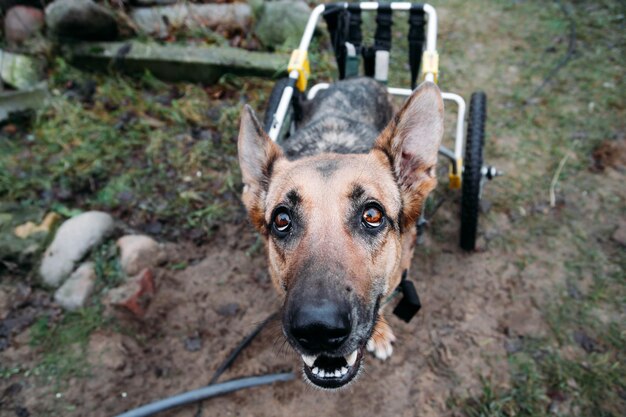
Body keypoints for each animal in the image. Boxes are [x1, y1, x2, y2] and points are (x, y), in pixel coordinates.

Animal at [236, 76, 442, 388]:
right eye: (282, 220)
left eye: (372, 215)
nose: (318, 329)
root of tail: (361, 78)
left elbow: (381, 305)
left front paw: (380, 332)